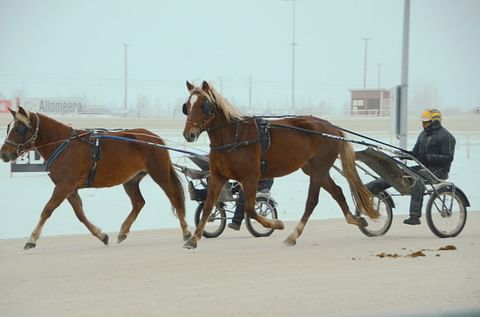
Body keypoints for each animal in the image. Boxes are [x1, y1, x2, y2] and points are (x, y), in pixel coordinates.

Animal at [0, 107, 191, 248]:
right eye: (8, 127)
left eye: (19, 128)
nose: (4, 154)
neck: (63, 144)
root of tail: (154, 138)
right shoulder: (69, 188)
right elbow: (80, 214)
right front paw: (101, 235)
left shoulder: (64, 186)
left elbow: (47, 209)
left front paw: (31, 239)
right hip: (131, 179)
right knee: (138, 202)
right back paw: (123, 231)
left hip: (159, 173)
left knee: (174, 197)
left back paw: (186, 231)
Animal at [181, 80, 378, 248]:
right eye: (187, 106)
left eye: (203, 105)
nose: (188, 134)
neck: (234, 137)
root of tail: (332, 128)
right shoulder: (217, 176)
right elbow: (208, 206)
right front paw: (193, 239)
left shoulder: (250, 177)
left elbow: (251, 209)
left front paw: (276, 223)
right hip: (314, 169)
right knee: (337, 191)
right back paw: (355, 219)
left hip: (318, 169)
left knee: (312, 201)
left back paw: (293, 235)